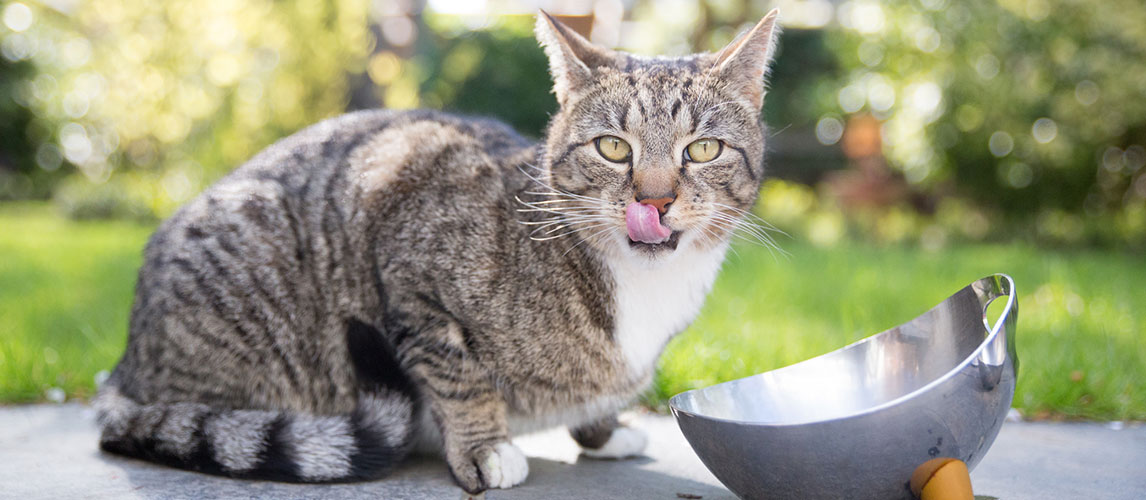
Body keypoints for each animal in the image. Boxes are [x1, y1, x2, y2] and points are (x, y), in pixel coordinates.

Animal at [93, 7, 783, 493]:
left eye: (702, 150)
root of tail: (122, 369)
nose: (655, 200)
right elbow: (457, 372)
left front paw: (603, 432)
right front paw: (484, 448)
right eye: (613, 148)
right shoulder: (404, 214)